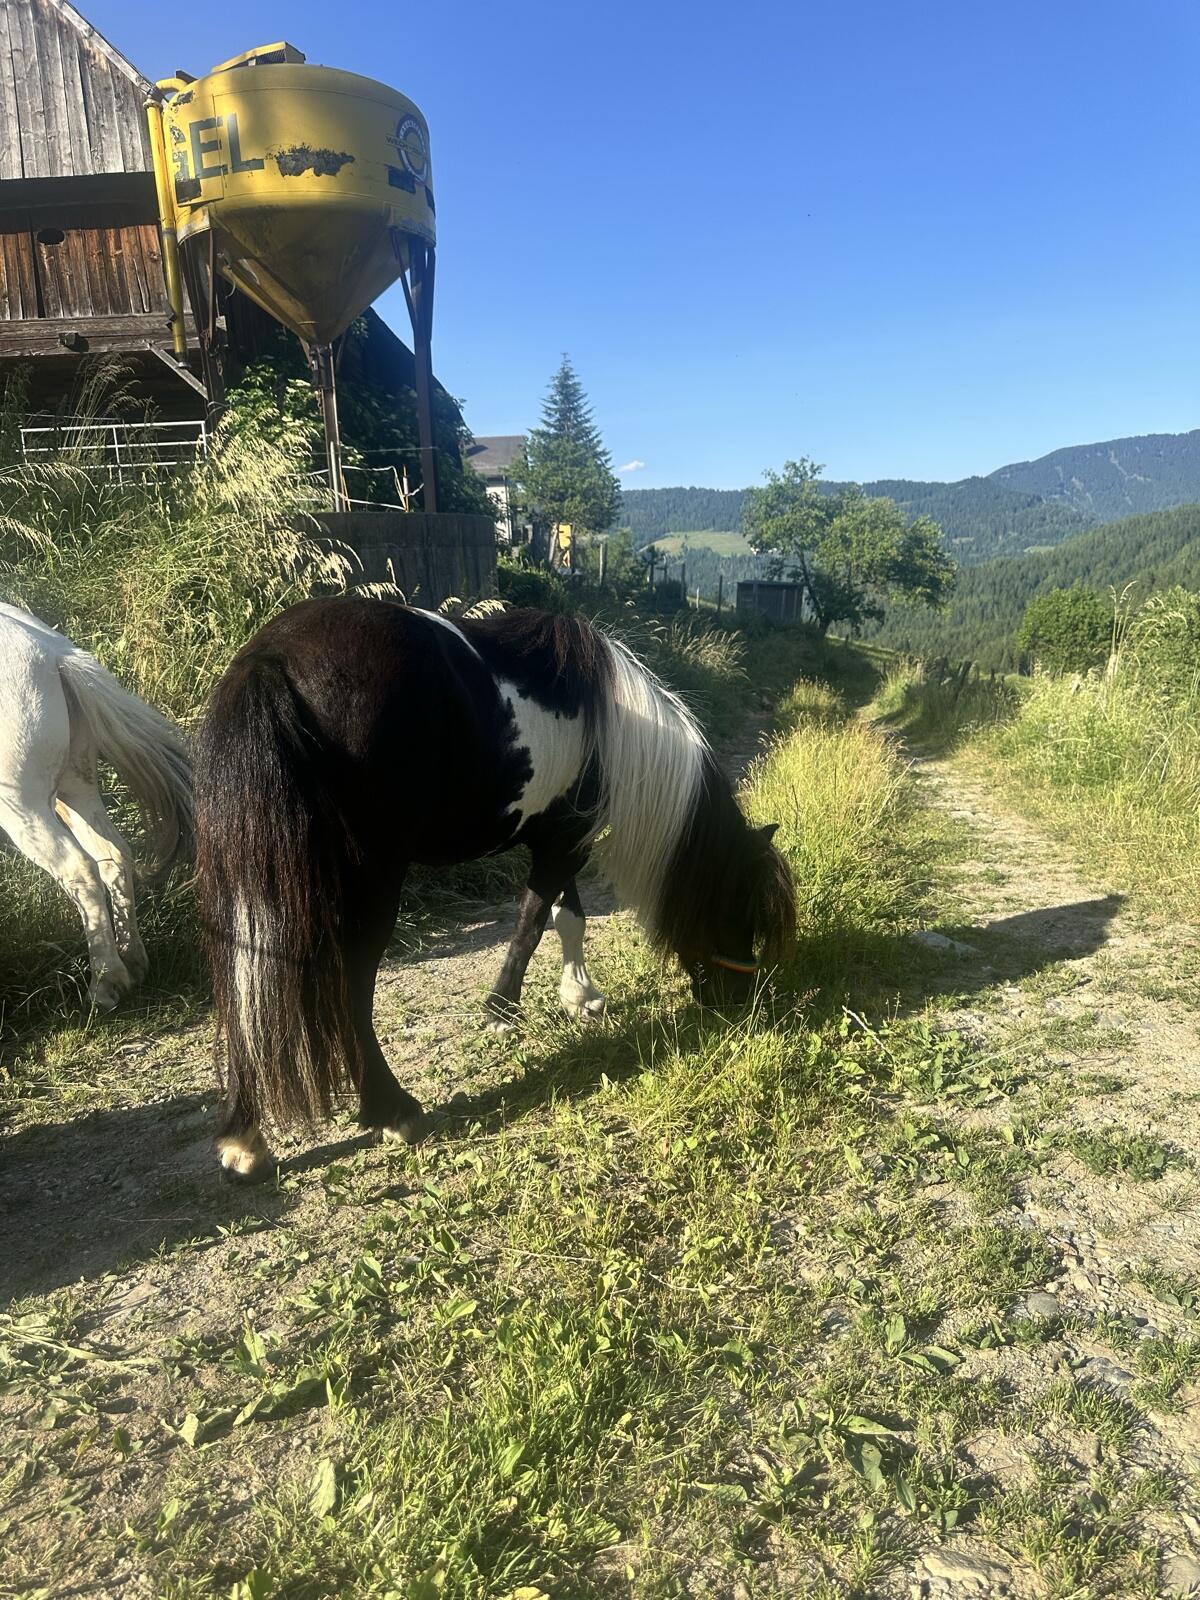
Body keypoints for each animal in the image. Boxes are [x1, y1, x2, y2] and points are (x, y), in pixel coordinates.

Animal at [0, 603, 193, 1008]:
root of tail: (54, 655)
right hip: (74, 790)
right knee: (113, 855)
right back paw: (133, 962)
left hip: (23, 808)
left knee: (80, 869)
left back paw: (105, 983)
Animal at [194, 597, 795, 1181]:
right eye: (740, 905)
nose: (738, 1000)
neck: (613, 728)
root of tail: (269, 661)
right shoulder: (564, 842)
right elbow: (533, 921)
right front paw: (502, 1009)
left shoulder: (557, 837)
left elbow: (568, 917)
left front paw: (579, 994)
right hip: (368, 885)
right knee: (351, 986)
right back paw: (394, 1110)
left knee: (247, 983)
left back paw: (244, 1140)